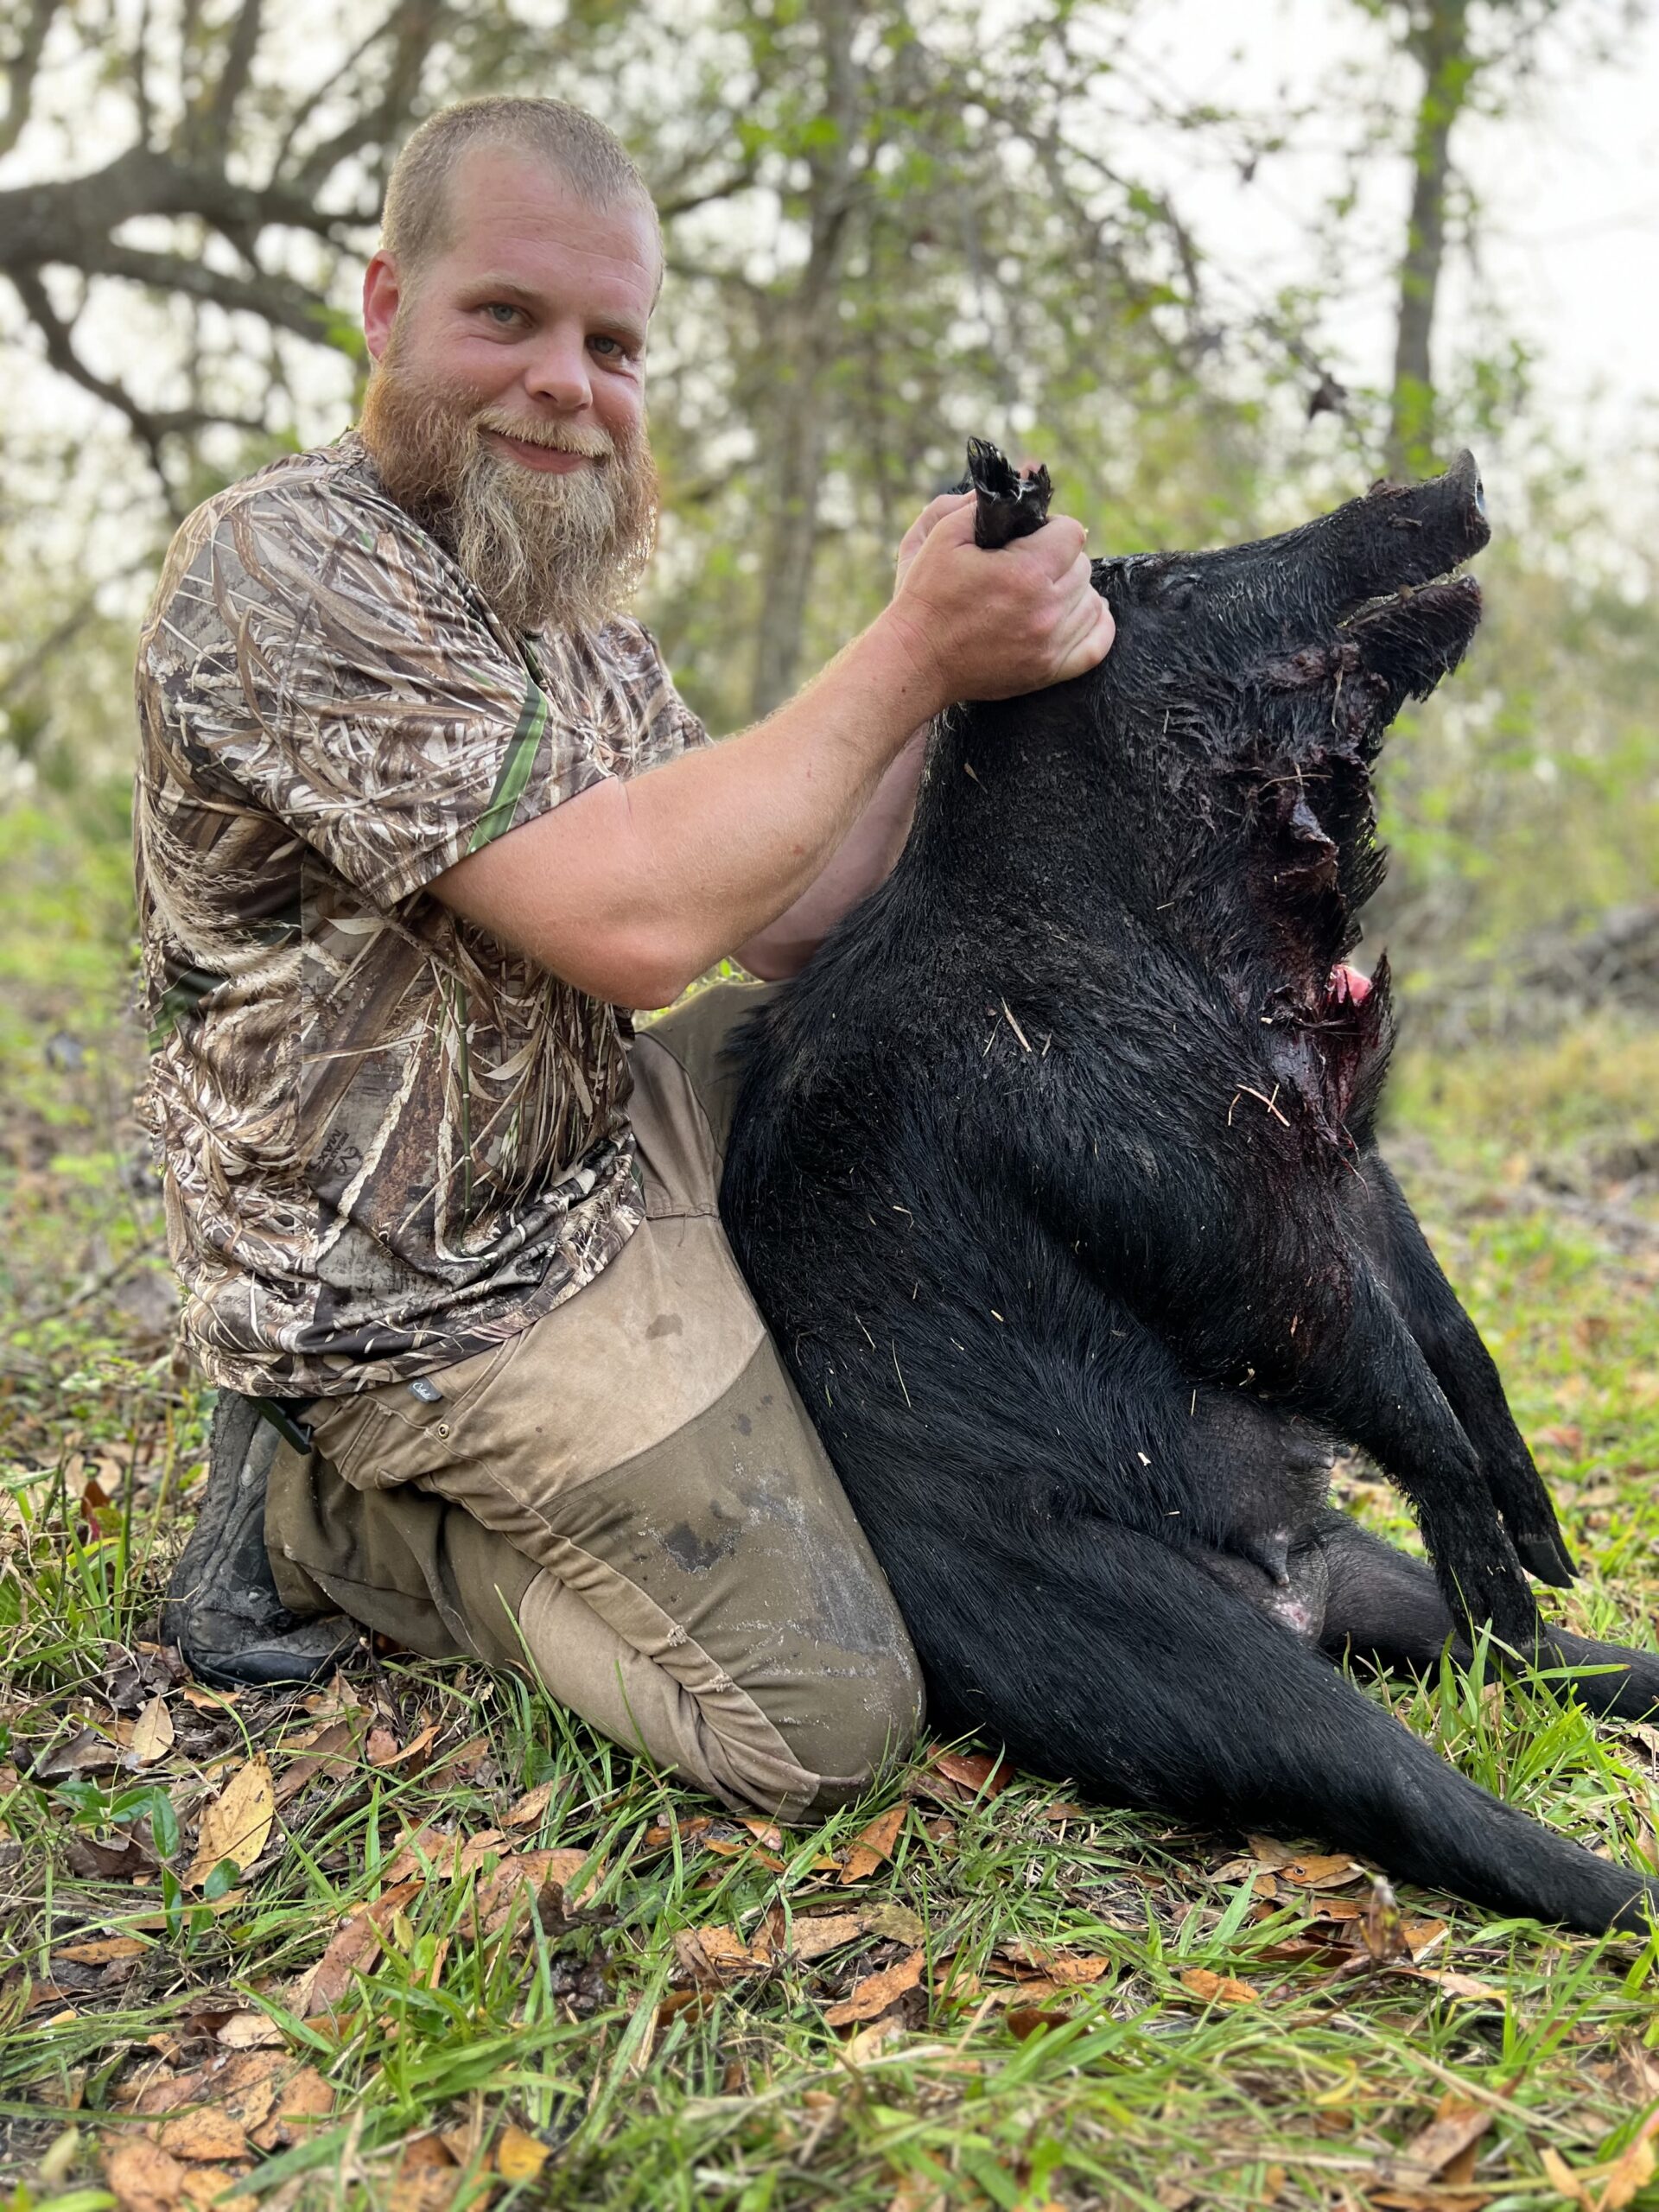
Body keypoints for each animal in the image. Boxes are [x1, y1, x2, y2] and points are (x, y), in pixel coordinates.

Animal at [719, 440, 1659, 1936]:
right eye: (1157, 576)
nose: (1454, 472)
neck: (1180, 947)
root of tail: (1291, 1597)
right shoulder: (1188, 1193)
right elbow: (1372, 1360)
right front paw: (1502, 1570)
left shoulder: (1342, 1154)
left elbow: (1450, 1327)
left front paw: (1547, 1542)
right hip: (1152, 1636)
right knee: (1411, 1779)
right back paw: (1593, 1819)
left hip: (1359, 1568)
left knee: (1574, 1668)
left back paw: (1537, 1627)